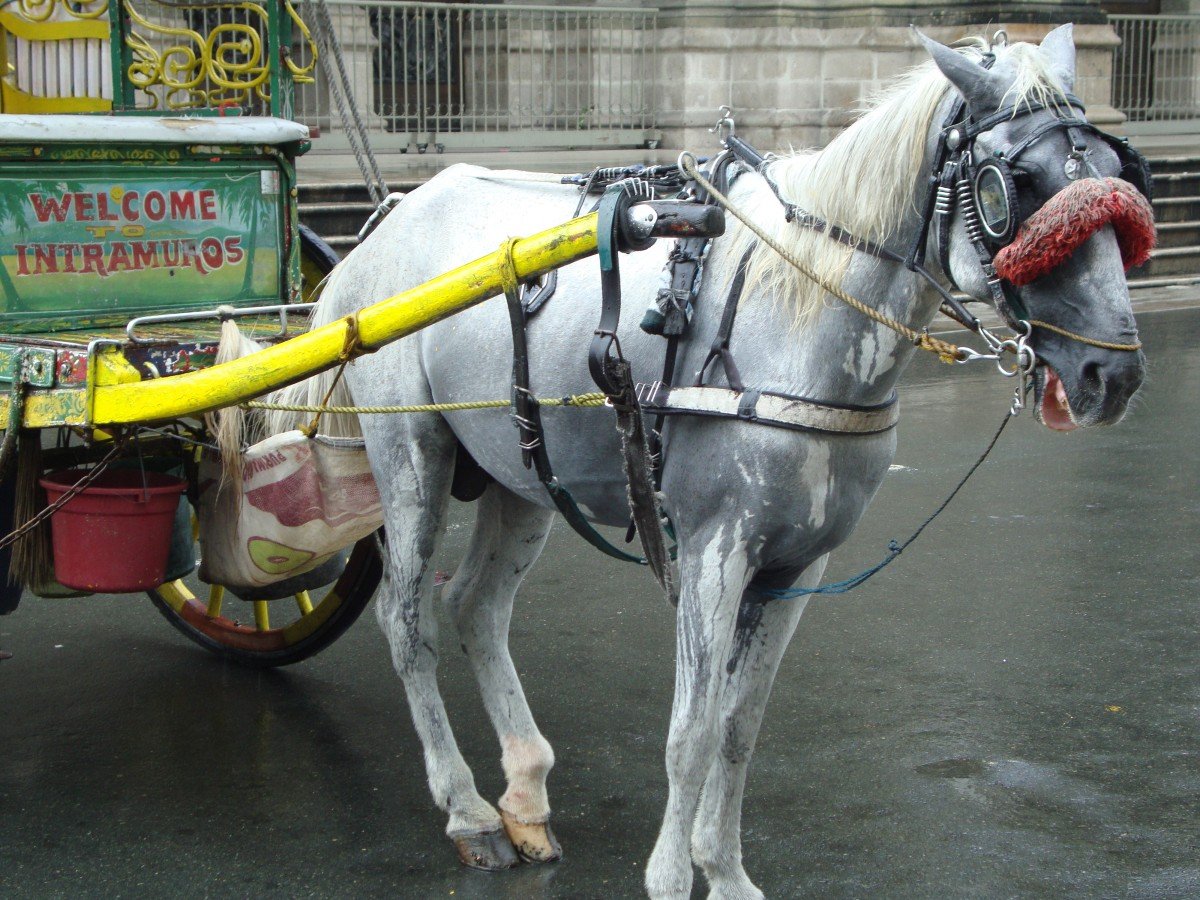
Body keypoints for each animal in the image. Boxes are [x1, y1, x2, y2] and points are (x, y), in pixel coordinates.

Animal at [270, 24, 1142, 897]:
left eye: (1114, 172)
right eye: (1010, 187)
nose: (1114, 374)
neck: (795, 316)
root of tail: (386, 228)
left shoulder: (797, 566)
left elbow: (737, 727)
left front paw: (723, 869)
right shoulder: (715, 551)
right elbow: (688, 734)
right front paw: (671, 875)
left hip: (522, 473)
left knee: (476, 606)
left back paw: (524, 792)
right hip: (410, 456)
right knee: (407, 619)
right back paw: (467, 809)